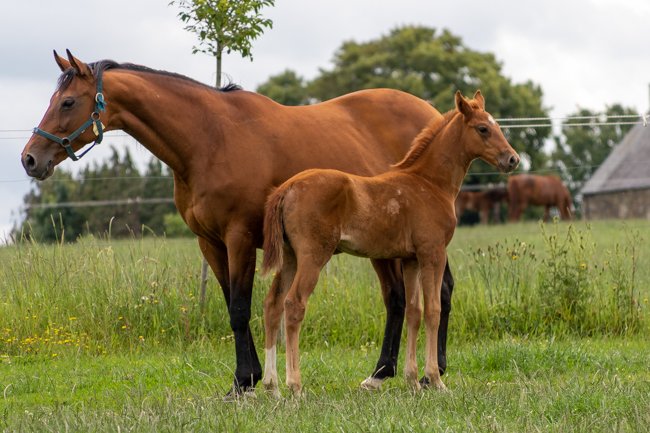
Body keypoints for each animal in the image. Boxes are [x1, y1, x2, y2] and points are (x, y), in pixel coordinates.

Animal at [21, 49, 456, 394]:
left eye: (67, 102)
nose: (30, 158)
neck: (210, 138)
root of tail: (433, 114)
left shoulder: (240, 237)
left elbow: (240, 309)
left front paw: (245, 381)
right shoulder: (210, 242)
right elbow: (233, 303)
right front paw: (249, 380)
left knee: (434, 293)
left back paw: (431, 372)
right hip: (384, 246)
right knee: (400, 298)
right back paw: (384, 374)